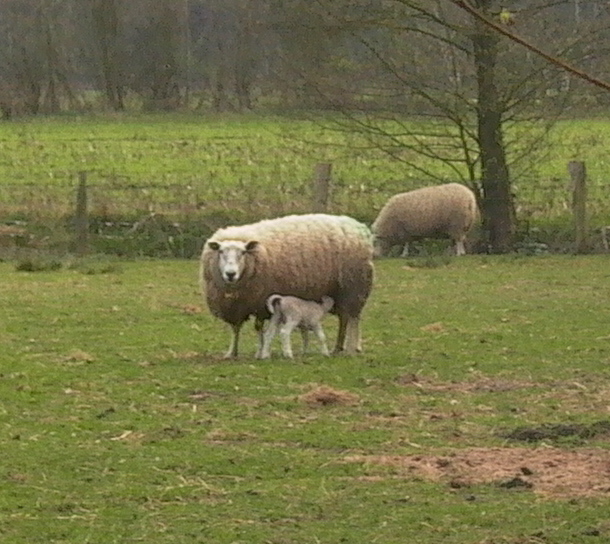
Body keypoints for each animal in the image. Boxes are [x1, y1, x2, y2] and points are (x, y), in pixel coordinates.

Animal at [200, 215, 372, 360]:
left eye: (243, 253)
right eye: (220, 252)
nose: (230, 274)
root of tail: (358, 226)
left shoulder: (261, 301)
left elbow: (258, 328)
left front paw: (259, 352)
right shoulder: (236, 305)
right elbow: (235, 329)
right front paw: (232, 352)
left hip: (353, 289)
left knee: (352, 319)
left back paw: (351, 348)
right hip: (341, 293)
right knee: (345, 319)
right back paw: (338, 348)